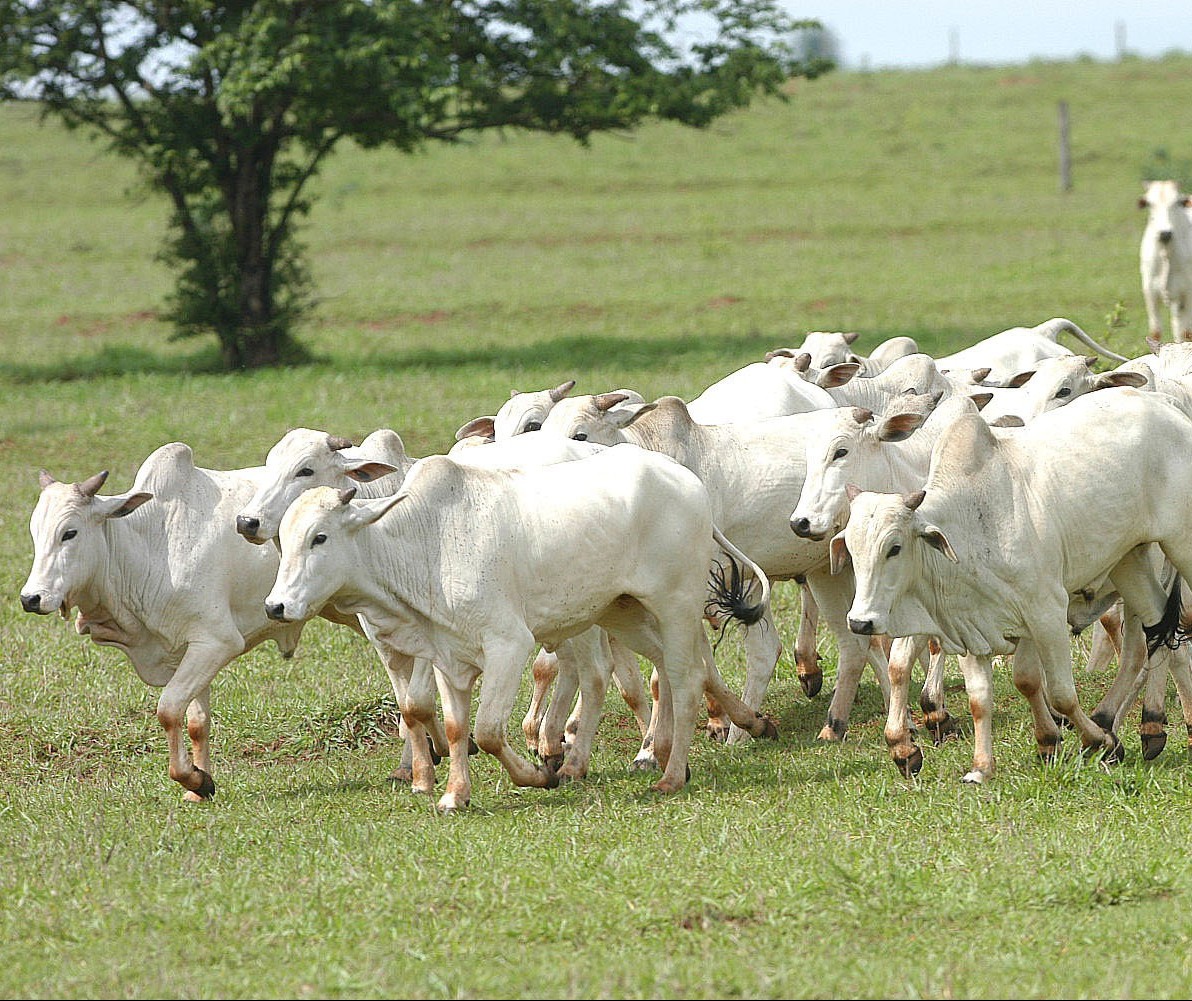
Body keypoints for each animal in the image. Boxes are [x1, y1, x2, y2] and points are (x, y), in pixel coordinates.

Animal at [18, 443, 340, 796]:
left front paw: (193, 778)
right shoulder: (187, 649)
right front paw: (198, 786)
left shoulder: (217, 642)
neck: (151, 547)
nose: (30, 598)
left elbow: (169, 710)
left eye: (70, 533)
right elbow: (197, 721)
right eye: (35, 533)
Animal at [834, 386, 1192, 786]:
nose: (860, 622)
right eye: (851, 548)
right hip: (1130, 562)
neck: (973, 521)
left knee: (1155, 643)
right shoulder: (972, 625)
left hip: (1179, 546)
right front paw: (981, 766)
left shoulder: (1046, 612)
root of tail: (1167, 407)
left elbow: (1061, 694)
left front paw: (1099, 741)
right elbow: (983, 696)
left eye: (894, 548)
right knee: (1160, 635)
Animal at [1134, 176, 1192, 340]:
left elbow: (1187, 333)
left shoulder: (1187, 293)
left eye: (1177, 202)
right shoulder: (1150, 293)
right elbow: (1155, 332)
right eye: (1149, 203)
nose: (1165, 233)